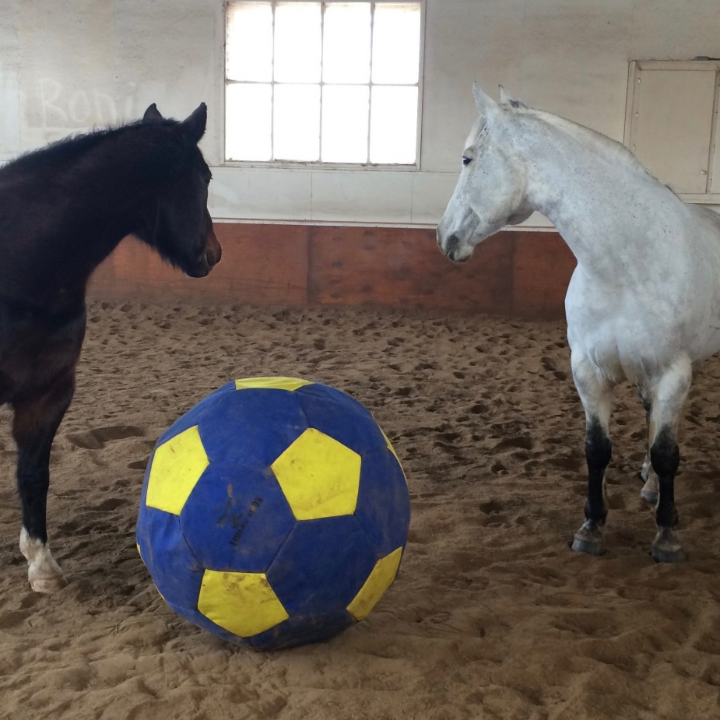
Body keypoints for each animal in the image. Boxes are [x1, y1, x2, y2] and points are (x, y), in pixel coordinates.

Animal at [437, 84, 720, 563]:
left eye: (467, 158)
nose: (444, 236)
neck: (627, 265)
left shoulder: (673, 373)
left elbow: (667, 453)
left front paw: (667, 535)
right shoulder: (588, 371)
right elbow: (597, 449)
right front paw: (591, 527)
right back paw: (648, 486)